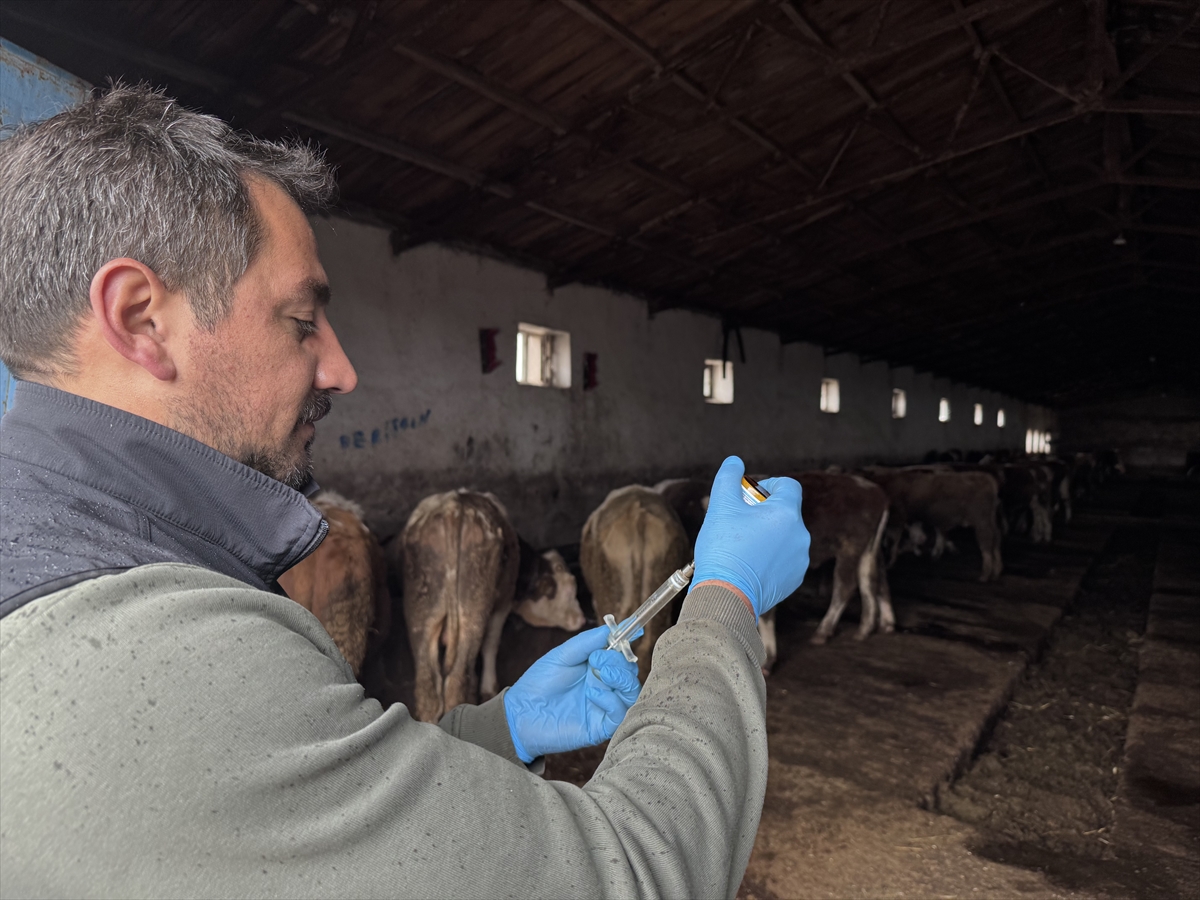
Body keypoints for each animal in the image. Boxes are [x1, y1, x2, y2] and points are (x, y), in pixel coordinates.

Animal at [400, 489, 518, 724]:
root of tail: (453, 506)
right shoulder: (504, 602)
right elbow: (492, 643)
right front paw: (489, 689)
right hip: (473, 611)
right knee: (456, 682)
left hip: (420, 611)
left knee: (428, 690)